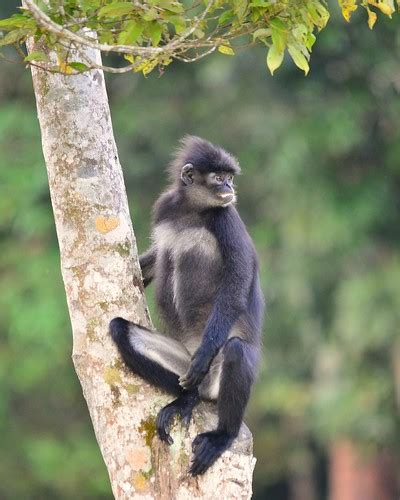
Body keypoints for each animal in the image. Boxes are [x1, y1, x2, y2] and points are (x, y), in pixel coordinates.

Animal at [110, 136, 266, 476]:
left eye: (229, 177)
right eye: (219, 177)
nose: (229, 187)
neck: (193, 211)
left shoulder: (226, 217)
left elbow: (237, 283)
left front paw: (205, 352)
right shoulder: (166, 208)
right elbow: (155, 259)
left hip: (213, 371)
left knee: (235, 349)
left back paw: (223, 435)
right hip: (183, 361)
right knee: (119, 330)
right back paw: (187, 399)